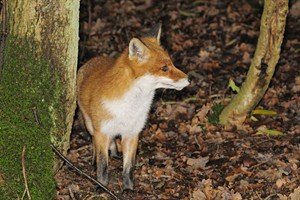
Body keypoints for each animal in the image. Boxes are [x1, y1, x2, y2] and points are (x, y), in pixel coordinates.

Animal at [78, 23, 190, 191]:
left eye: (172, 64)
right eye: (164, 68)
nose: (189, 79)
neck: (130, 106)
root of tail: (92, 60)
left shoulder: (132, 133)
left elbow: (129, 166)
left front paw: (128, 189)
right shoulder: (102, 131)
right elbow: (103, 164)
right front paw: (102, 186)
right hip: (91, 126)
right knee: (94, 144)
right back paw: (94, 161)